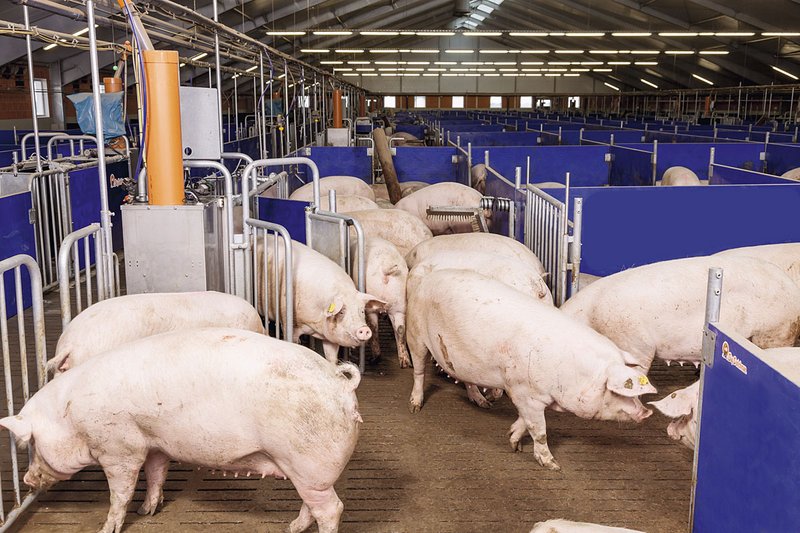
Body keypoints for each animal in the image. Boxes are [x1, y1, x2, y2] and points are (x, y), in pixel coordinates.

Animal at [3, 328, 360, 532]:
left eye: (31, 444)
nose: (28, 479)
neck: (70, 416)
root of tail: (341, 384)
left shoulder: (119, 449)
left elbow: (120, 492)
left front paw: (108, 528)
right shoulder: (155, 443)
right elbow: (156, 474)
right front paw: (148, 511)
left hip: (308, 463)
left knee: (332, 509)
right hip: (306, 472)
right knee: (311, 505)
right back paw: (292, 527)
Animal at [350, 239, 410, 368]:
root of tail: (385, 269)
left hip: (372, 304)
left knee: (374, 328)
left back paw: (374, 359)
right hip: (400, 302)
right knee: (400, 329)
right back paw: (405, 363)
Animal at [410, 270, 652, 470]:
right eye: (616, 391)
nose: (646, 412)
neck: (569, 372)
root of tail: (428, 278)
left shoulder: (529, 397)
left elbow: (526, 423)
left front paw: (513, 440)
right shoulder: (524, 392)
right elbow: (539, 430)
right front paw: (552, 465)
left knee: (466, 379)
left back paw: (483, 403)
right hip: (416, 334)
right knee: (419, 370)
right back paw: (415, 407)